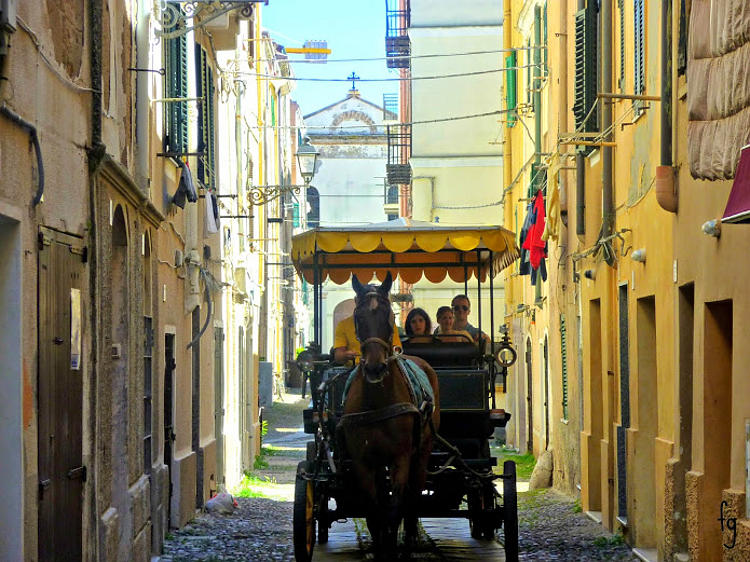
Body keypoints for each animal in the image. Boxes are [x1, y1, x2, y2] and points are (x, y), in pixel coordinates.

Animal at [340, 272, 440, 556]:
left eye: (388, 317)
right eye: (358, 317)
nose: (375, 368)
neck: (377, 402)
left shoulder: (401, 458)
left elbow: (395, 508)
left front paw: (394, 546)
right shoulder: (363, 461)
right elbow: (374, 510)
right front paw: (380, 545)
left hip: (422, 450)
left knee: (413, 494)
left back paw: (410, 539)